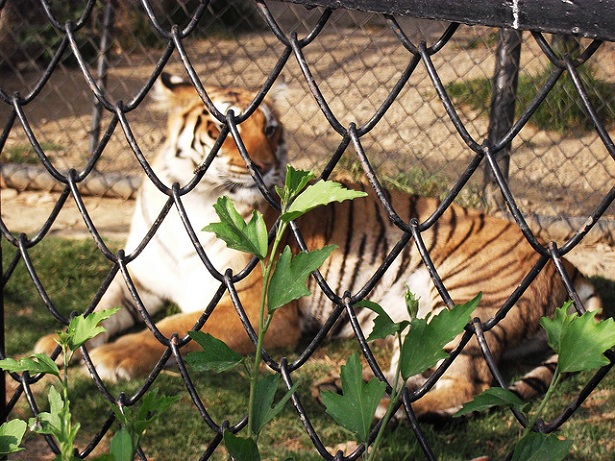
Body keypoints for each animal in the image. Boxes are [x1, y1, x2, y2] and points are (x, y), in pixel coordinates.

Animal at [35, 71, 600, 416]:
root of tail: (570, 267)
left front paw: (110, 359)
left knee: (467, 386)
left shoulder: (254, 307)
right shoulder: (140, 276)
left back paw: (387, 413)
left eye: (271, 129)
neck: (190, 205)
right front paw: (49, 350)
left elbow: (175, 332)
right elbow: (93, 312)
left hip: (461, 302)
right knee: (416, 370)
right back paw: (352, 389)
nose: (265, 167)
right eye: (222, 126)